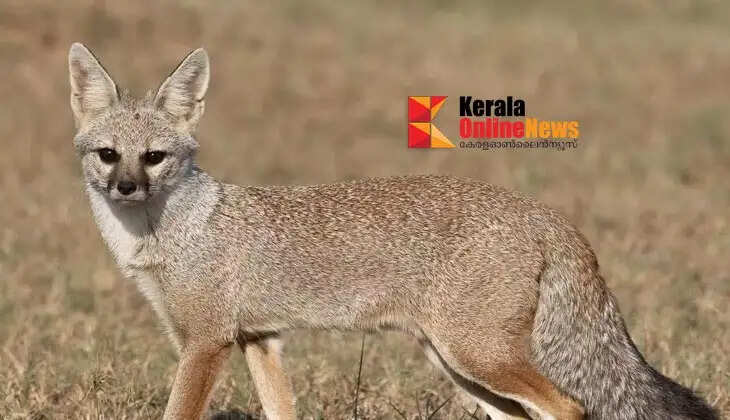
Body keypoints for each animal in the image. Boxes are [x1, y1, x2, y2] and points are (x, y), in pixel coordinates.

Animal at [68, 42, 718, 420]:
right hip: (460, 365)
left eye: (153, 158)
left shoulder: (206, 343)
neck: (169, 233)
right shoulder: (260, 340)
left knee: (571, 408)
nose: (125, 188)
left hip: (476, 355)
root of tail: (547, 213)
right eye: (108, 155)